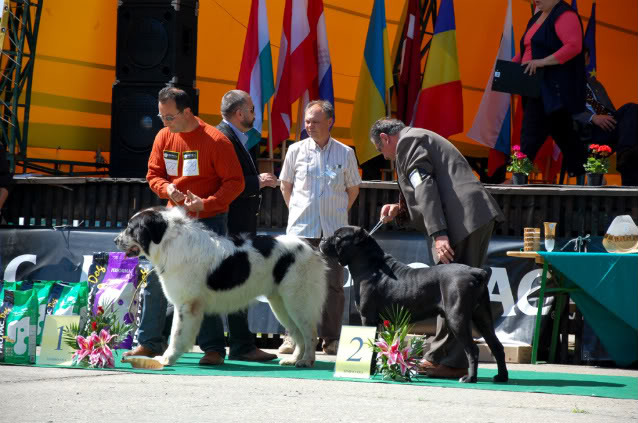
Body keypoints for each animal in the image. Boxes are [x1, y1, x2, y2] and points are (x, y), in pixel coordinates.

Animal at [112, 207, 328, 366]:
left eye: (131, 228)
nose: (115, 240)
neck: (169, 242)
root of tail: (310, 247)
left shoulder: (186, 305)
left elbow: (176, 334)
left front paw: (167, 359)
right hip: (281, 305)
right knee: (298, 334)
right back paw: (294, 360)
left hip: (298, 302)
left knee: (310, 333)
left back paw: (306, 361)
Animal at [320, 227, 510, 386]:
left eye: (338, 236)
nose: (322, 240)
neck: (370, 265)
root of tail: (475, 272)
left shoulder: (368, 318)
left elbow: (372, 346)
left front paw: (370, 369)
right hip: (482, 317)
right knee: (497, 346)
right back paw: (501, 377)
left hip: (457, 318)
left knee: (472, 349)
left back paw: (470, 378)